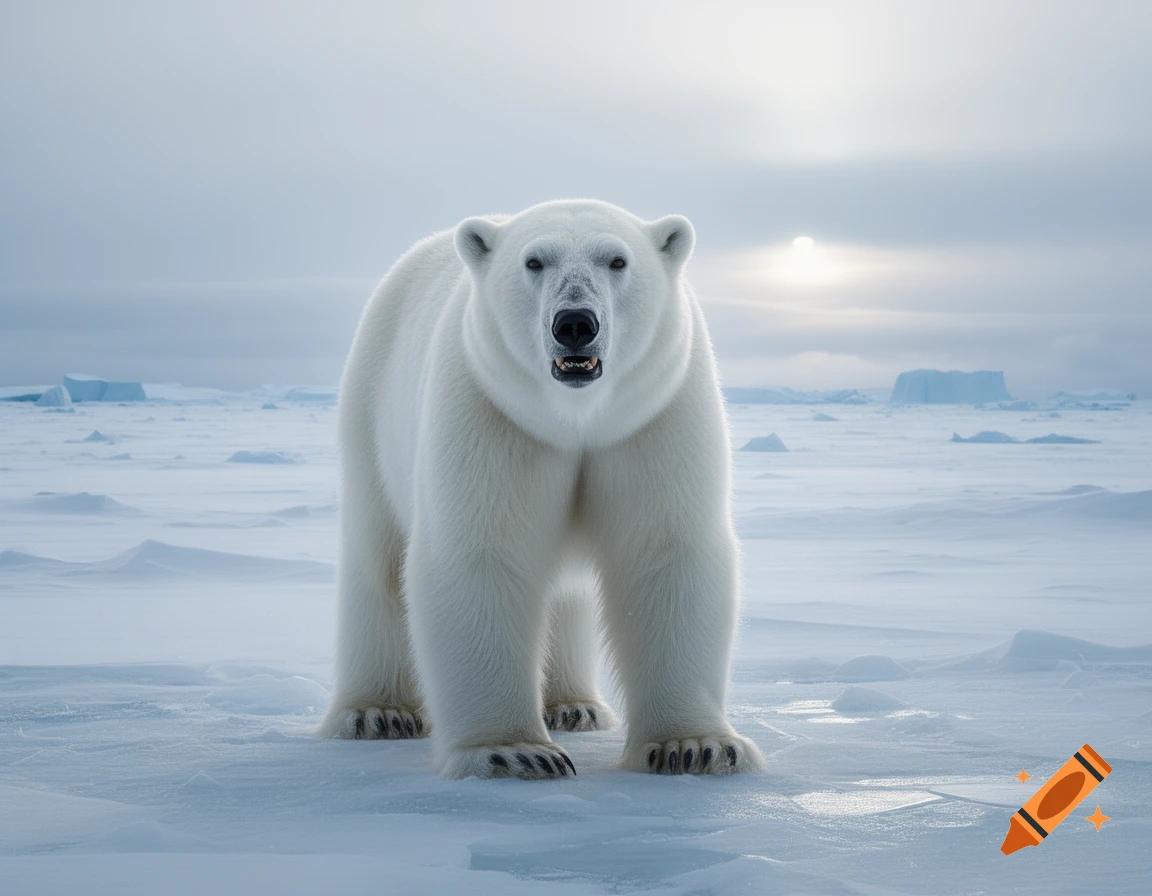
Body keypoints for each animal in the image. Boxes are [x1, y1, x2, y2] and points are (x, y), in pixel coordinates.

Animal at [318, 199, 764, 779]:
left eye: (616, 260)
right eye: (534, 261)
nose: (575, 323)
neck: (575, 418)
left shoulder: (653, 418)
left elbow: (665, 552)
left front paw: (695, 746)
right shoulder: (492, 414)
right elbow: (482, 555)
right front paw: (514, 752)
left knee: (566, 596)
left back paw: (574, 706)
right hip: (370, 413)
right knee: (378, 561)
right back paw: (376, 713)